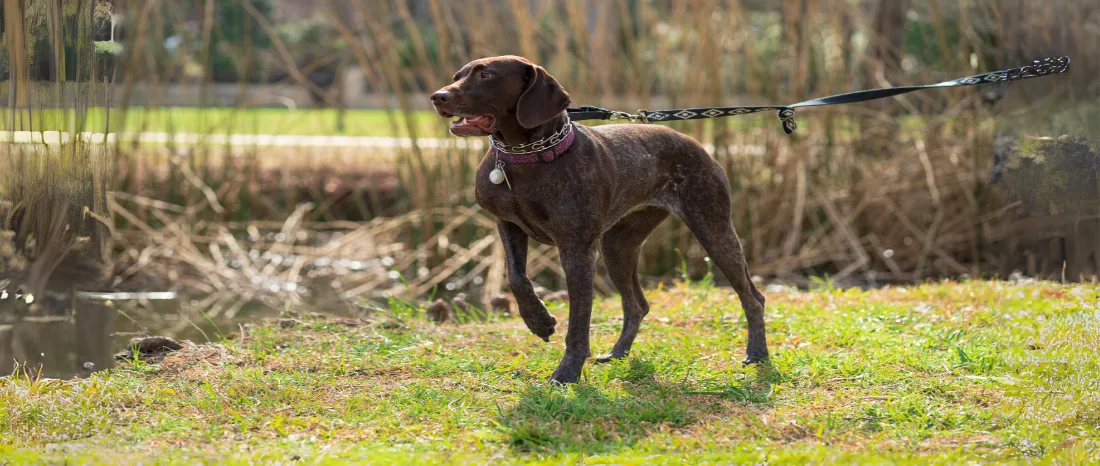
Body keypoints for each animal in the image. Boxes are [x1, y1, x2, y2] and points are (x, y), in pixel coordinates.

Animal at [426, 55, 765, 382]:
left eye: (486, 75)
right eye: (458, 76)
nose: (437, 97)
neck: (526, 155)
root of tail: (694, 143)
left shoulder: (577, 251)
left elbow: (578, 320)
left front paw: (567, 372)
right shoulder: (508, 225)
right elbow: (517, 278)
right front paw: (539, 321)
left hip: (713, 229)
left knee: (753, 297)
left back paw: (758, 354)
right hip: (618, 246)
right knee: (637, 305)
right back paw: (617, 353)